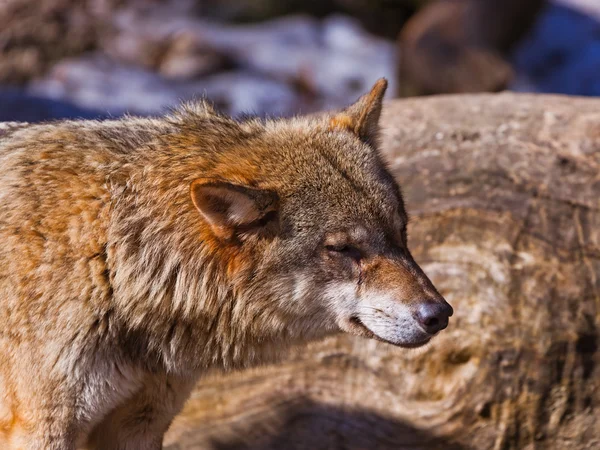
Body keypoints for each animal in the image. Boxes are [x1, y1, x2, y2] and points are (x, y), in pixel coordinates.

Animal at [0, 79, 450, 448]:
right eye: (344, 249)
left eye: (401, 233)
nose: (440, 315)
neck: (114, 256)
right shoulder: (45, 429)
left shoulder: (139, 425)